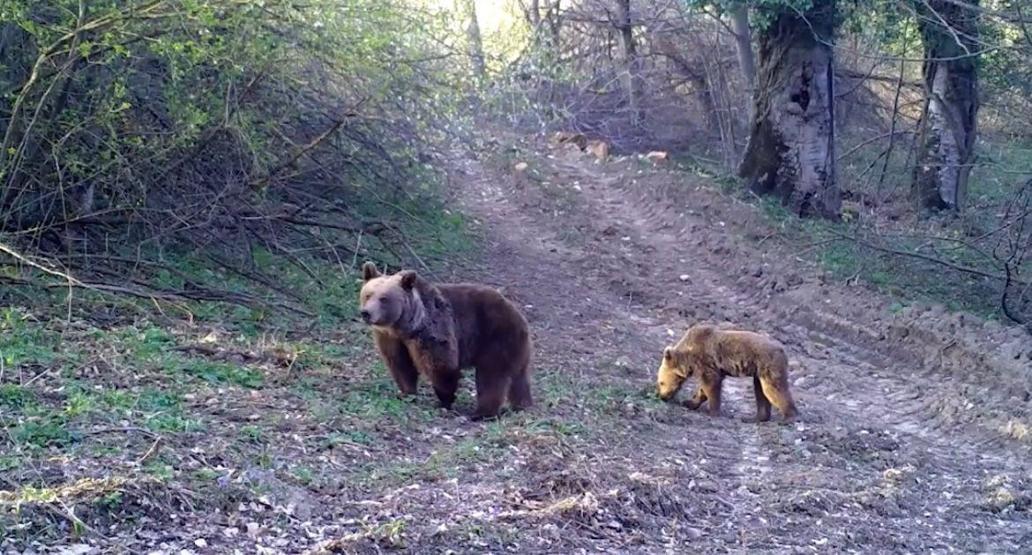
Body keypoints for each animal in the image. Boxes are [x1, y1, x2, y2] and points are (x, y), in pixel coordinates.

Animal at [359, 260, 532, 416]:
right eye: (368, 295)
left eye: (384, 298)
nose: (366, 313)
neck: (405, 325)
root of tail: (518, 313)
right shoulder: (391, 338)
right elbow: (400, 363)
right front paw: (406, 393)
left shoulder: (433, 329)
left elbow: (441, 363)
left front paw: (444, 399)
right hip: (515, 347)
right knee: (519, 378)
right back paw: (521, 405)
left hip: (496, 336)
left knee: (491, 376)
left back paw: (482, 413)